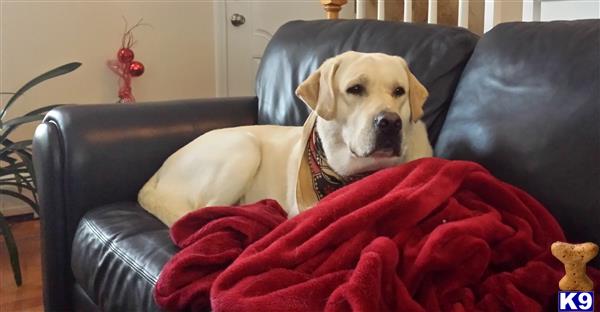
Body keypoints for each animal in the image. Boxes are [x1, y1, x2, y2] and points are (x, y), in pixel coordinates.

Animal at [139, 51, 434, 227]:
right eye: (355, 89)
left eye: (399, 91)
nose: (390, 122)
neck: (351, 174)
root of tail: (158, 173)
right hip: (243, 147)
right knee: (204, 214)